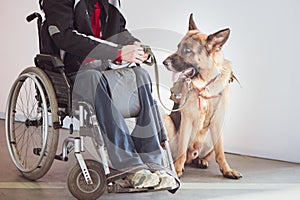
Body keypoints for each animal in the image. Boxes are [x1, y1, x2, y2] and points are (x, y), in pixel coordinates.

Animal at [162, 14, 241, 179]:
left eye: (187, 50)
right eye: (178, 47)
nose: (164, 62)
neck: (206, 84)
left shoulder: (217, 121)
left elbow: (220, 152)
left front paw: (227, 170)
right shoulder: (187, 119)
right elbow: (182, 149)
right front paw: (177, 169)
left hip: (214, 134)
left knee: (209, 153)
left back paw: (201, 160)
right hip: (166, 121)